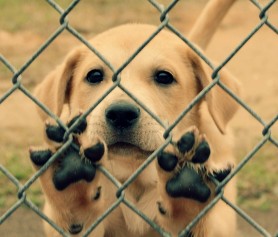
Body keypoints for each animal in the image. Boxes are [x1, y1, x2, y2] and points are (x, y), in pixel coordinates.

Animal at [29, 0, 241, 236]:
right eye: (94, 75)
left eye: (164, 77)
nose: (121, 113)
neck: (135, 175)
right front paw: (73, 194)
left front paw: (186, 200)